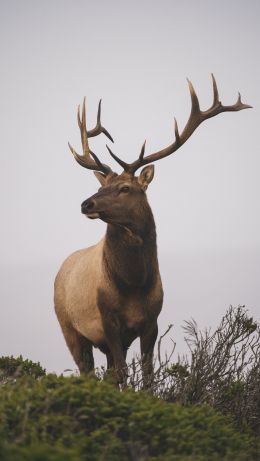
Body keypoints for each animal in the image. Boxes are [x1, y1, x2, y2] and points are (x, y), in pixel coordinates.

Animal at [53, 75, 251, 384]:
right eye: (102, 186)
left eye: (125, 188)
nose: (86, 203)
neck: (134, 284)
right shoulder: (107, 320)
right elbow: (123, 373)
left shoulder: (152, 322)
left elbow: (147, 374)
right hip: (69, 327)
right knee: (88, 370)